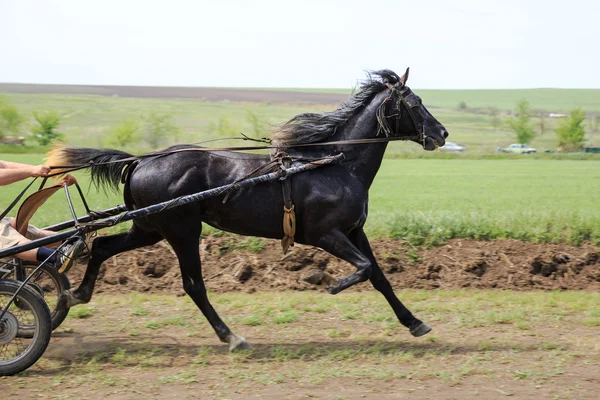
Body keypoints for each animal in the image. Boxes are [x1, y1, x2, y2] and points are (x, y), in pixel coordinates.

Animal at [50, 69, 446, 350]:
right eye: (415, 102)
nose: (441, 133)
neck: (334, 163)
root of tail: (140, 160)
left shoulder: (353, 230)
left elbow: (378, 275)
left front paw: (415, 322)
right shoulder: (325, 234)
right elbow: (362, 268)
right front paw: (324, 280)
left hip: (148, 228)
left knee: (101, 246)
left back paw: (75, 294)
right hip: (182, 230)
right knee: (193, 285)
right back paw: (232, 337)